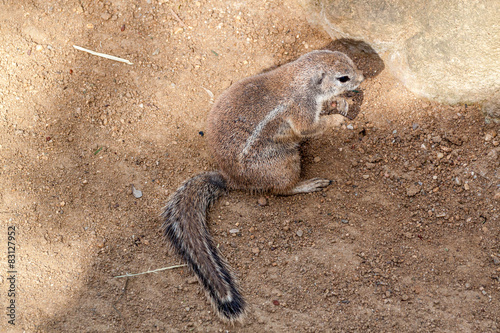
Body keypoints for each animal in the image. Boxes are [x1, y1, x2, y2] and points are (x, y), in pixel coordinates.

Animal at [162, 49, 366, 320]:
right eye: (343, 77)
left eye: (350, 60)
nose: (362, 78)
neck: (301, 79)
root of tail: (230, 178)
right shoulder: (302, 109)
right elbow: (309, 128)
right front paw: (337, 120)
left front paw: (339, 104)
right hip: (284, 163)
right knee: (281, 189)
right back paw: (308, 184)